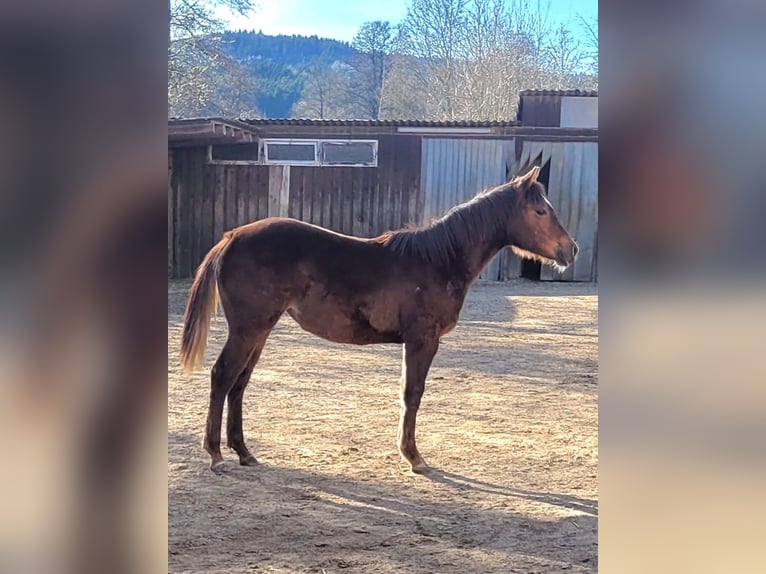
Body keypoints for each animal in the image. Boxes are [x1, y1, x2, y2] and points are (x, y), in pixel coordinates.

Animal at [179, 166, 578, 473]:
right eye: (540, 212)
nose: (570, 250)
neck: (437, 261)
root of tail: (231, 237)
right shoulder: (422, 340)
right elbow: (412, 393)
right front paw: (414, 457)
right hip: (248, 330)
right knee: (222, 376)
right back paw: (215, 455)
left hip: (260, 331)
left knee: (240, 382)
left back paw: (245, 453)